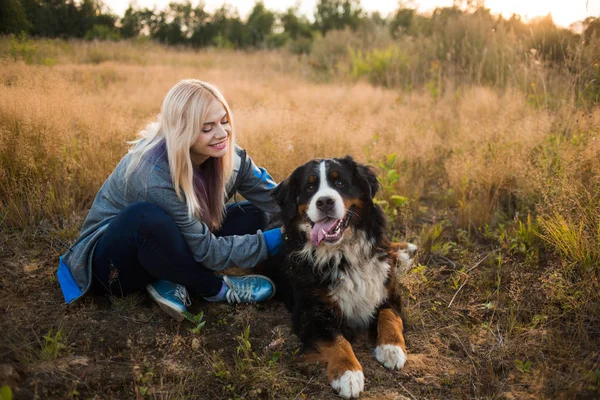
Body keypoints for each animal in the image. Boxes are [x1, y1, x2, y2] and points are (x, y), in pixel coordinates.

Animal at [264, 155, 418, 396]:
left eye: (340, 183)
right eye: (310, 187)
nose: (325, 202)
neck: (342, 255)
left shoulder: (388, 289)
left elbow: (389, 316)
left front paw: (391, 349)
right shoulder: (310, 313)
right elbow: (337, 340)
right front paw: (348, 374)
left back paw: (404, 251)